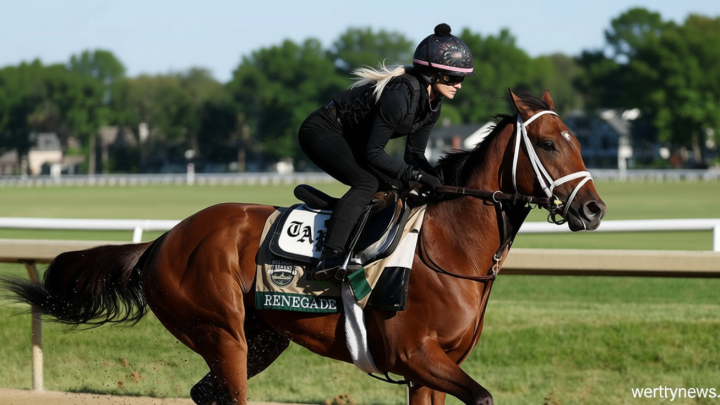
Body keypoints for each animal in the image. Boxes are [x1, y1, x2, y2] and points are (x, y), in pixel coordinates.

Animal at [2, 89, 605, 405]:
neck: (447, 248)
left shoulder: (428, 370)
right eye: (548, 143)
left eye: (577, 139)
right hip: (222, 334)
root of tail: (163, 242)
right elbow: (482, 396)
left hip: (263, 337)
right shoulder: (417, 356)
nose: (594, 210)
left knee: (205, 393)